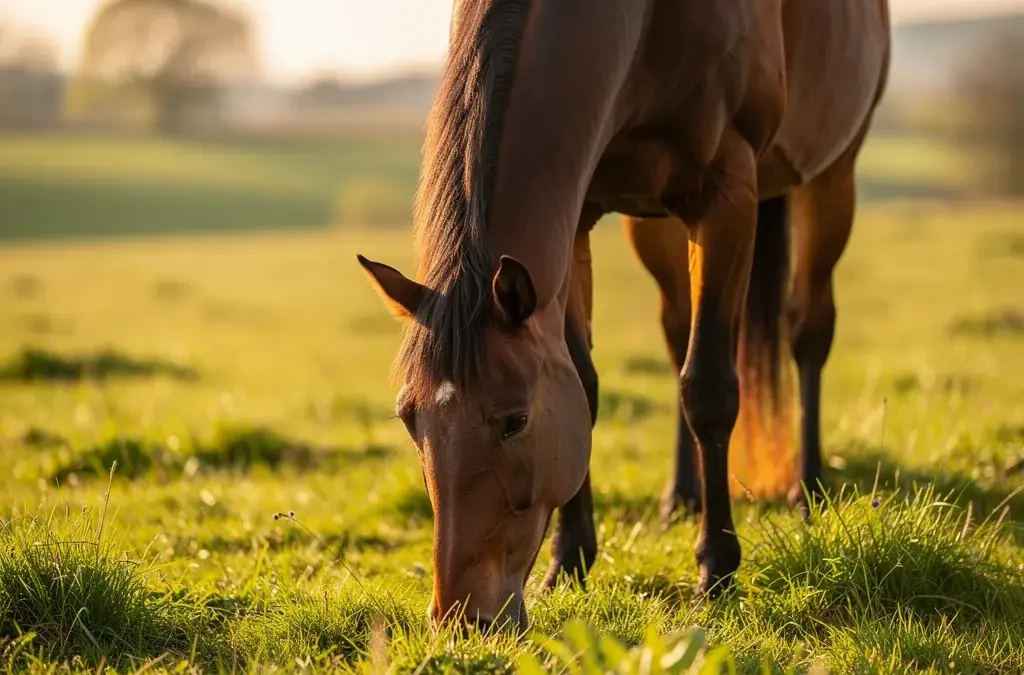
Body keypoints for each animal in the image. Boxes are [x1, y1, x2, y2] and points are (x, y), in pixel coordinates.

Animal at [357, 0, 891, 632]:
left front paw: (716, 571)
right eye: (409, 419)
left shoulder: (727, 195)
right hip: (653, 224)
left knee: (807, 329)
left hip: (833, 175)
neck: (649, 24)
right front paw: (568, 562)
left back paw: (806, 489)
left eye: (514, 421)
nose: (463, 617)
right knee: (679, 330)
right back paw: (681, 496)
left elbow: (709, 389)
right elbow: (586, 386)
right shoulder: (577, 218)